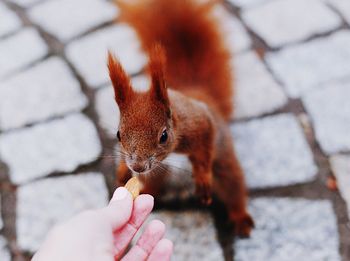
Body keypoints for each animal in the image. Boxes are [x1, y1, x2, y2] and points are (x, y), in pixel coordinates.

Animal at [107, 0, 254, 236]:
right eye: (118, 134)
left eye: (164, 136)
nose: (137, 167)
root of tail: (198, 92)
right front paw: (121, 172)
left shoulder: (200, 123)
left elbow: (204, 150)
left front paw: (202, 177)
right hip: (157, 174)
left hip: (222, 159)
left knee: (232, 184)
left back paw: (240, 217)